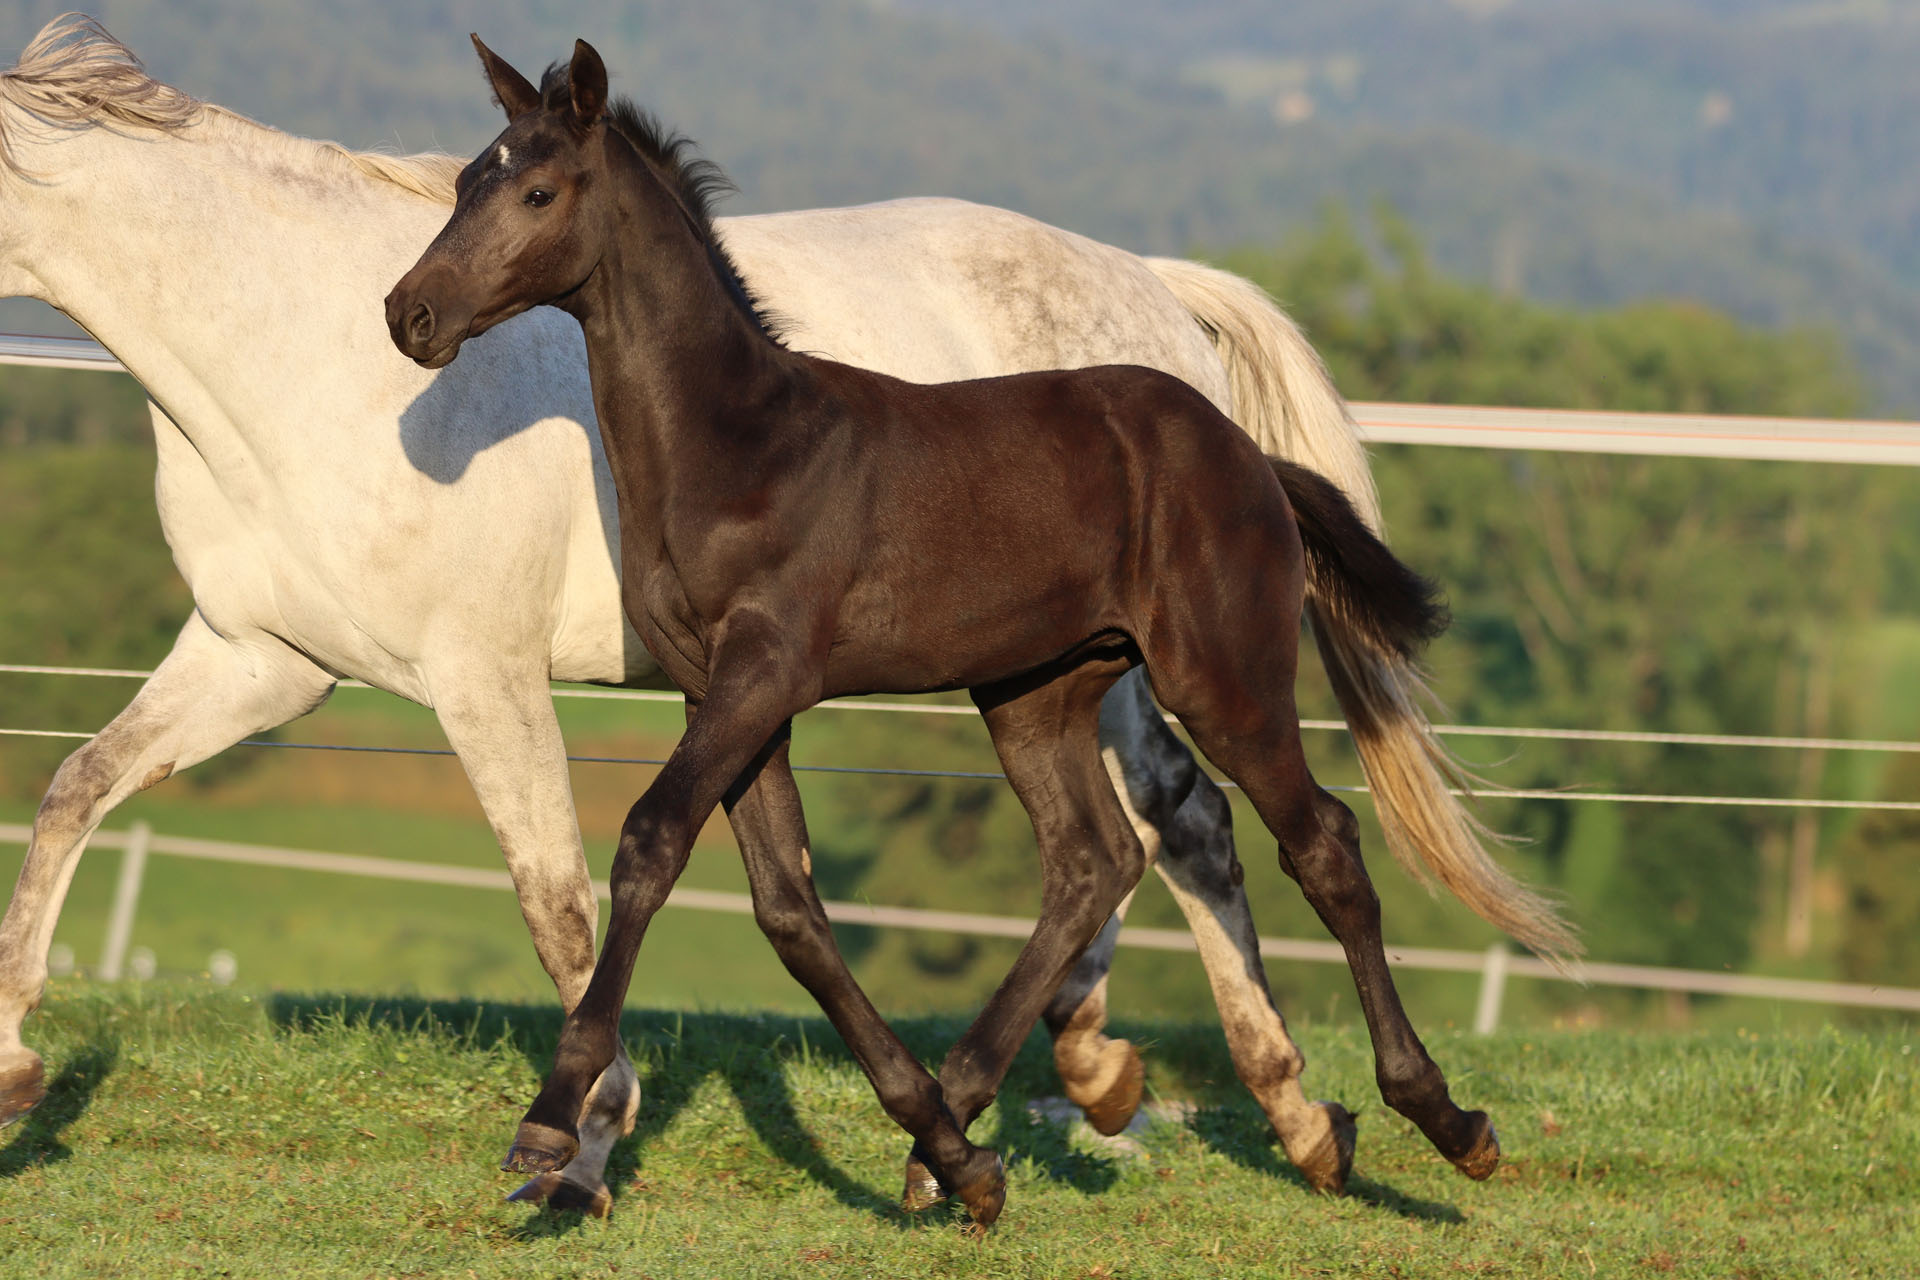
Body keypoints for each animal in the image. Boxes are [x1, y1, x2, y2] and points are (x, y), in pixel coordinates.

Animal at [0, 20, 1559, 1220]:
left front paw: (579, 1135)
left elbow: (579, 889)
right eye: (462, 187)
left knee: (1248, 832)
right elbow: (74, 790)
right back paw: (1116, 1095)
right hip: (1047, 676)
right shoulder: (268, 659)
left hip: (1193, 664)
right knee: (1128, 844)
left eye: (534, 191)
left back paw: (1362, 1116)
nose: (413, 318)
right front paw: (17, 1070)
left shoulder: (501, 674)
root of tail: (1171, 321)